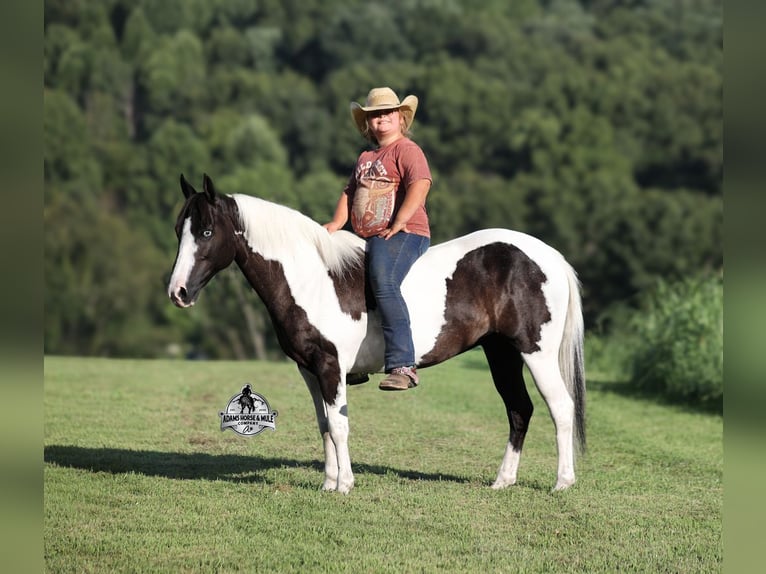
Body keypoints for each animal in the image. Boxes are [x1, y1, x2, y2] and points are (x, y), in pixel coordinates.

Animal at [167, 174, 586, 493]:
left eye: (206, 231)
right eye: (178, 231)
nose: (178, 293)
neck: (314, 278)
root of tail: (547, 255)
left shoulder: (331, 366)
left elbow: (339, 425)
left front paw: (344, 485)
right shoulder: (309, 370)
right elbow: (324, 425)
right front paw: (328, 483)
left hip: (536, 353)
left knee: (560, 408)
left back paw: (563, 482)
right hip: (501, 353)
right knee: (519, 410)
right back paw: (503, 481)